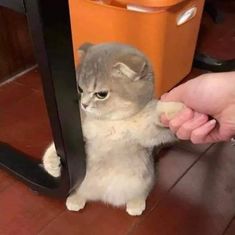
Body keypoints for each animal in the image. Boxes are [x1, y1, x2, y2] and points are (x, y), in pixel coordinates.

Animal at [43, 42, 185, 217]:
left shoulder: (146, 131)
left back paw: (136, 202)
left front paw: (177, 108)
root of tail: (104, 195)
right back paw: (75, 198)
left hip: (143, 180)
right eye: (80, 89)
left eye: (101, 94)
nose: (83, 104)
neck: (110, 122)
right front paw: (52, 162)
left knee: (144, 190)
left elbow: (159, 116)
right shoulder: (81, 132)